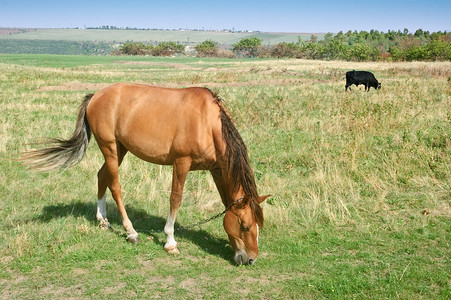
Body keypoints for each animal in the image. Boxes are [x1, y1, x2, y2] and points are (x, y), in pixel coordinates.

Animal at [21, 82, 268, 264]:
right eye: (245, 226)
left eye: (258, 226)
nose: (251, 259)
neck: (207, 122)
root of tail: (97, 95)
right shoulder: (182, 163)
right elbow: (175, 199)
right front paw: (170, 241)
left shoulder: (217, 169)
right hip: (110, 148)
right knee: (114, 185)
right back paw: (130, 232)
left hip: (120, 149)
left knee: (101, 176)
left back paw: (102, 220)